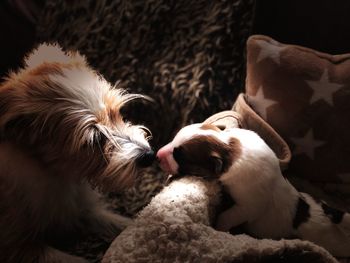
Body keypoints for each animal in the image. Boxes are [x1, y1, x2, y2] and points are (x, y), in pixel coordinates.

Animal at [0, 44, 155, 263]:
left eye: (117, 113)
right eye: (94, 139)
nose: (149, 155)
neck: (56, 174)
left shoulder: (82, 210)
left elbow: (126, 225)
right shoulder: (17, 246)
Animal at [157, 124, 350, 258]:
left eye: (179, 156)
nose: (157, 155)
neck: (229, 148)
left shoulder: (247, 205)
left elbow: (228, 216)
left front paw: (220, 228)